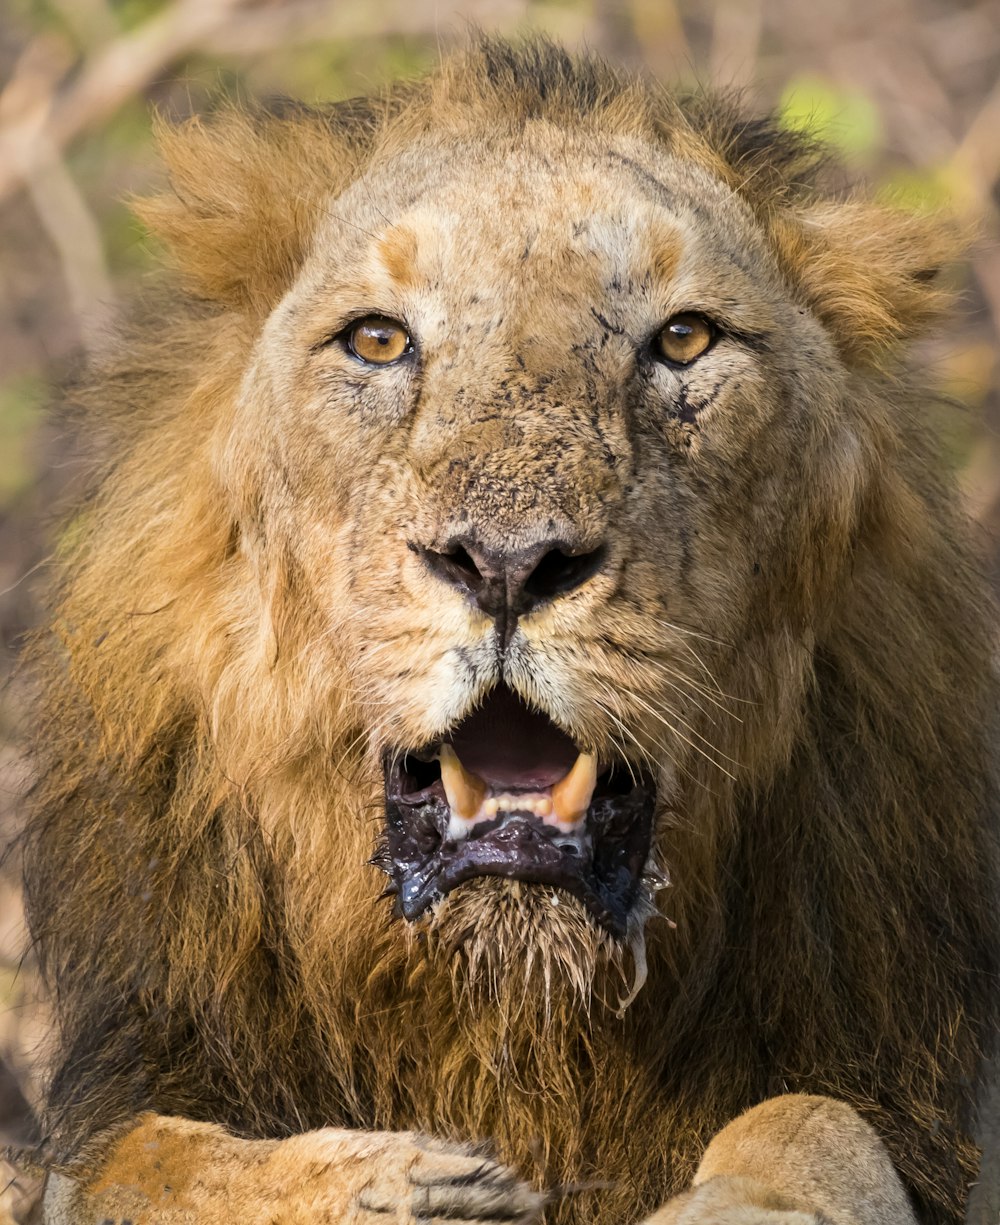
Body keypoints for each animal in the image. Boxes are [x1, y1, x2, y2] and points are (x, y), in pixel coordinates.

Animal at [17, 33, 1000, 1225]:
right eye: (378, 339)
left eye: (685, 339)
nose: (505, 562)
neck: (510, 1006)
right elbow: (151, 1163)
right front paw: (397, 1183)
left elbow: (815, 1118)